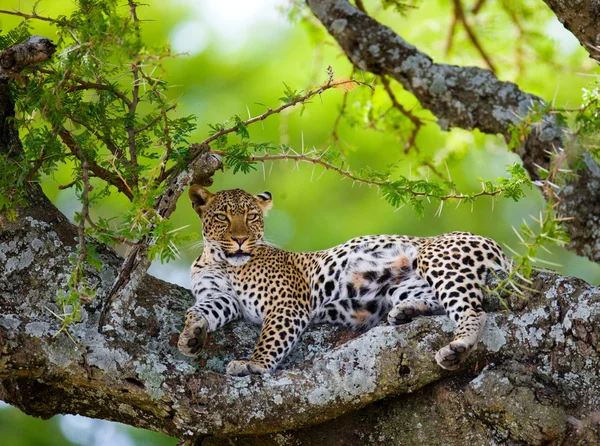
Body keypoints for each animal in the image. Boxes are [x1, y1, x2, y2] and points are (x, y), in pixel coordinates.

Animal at [176, 185, 508, 376]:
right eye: (222, 217)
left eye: (253, 217)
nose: (241, 239)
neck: (221, 261)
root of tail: (497, 246)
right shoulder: (221, 297)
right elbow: (199, 310)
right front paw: (191, 336)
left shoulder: (286, 305)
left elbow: (271, 338)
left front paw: (253, 365)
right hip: (401, 286)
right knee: (441, 301)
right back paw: (406, 312)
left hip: (437, 258)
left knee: (473, 310)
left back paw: (458, 347)